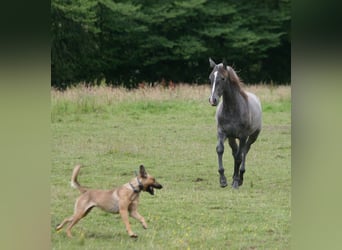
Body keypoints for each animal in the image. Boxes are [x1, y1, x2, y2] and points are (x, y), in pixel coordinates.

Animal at [207, 58, 264, 188]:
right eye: (210, 78)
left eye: (223, 78)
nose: (213, 100)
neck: (232, 109)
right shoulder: (222, 133)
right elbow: (220, 150)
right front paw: (223, 180)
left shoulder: (243, 136)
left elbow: (239, 156)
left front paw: (236, 182)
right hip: (232, 137)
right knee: (235, 151)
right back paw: (234, 176)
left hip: (252, 136)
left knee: (244, 151)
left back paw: (240, 176)